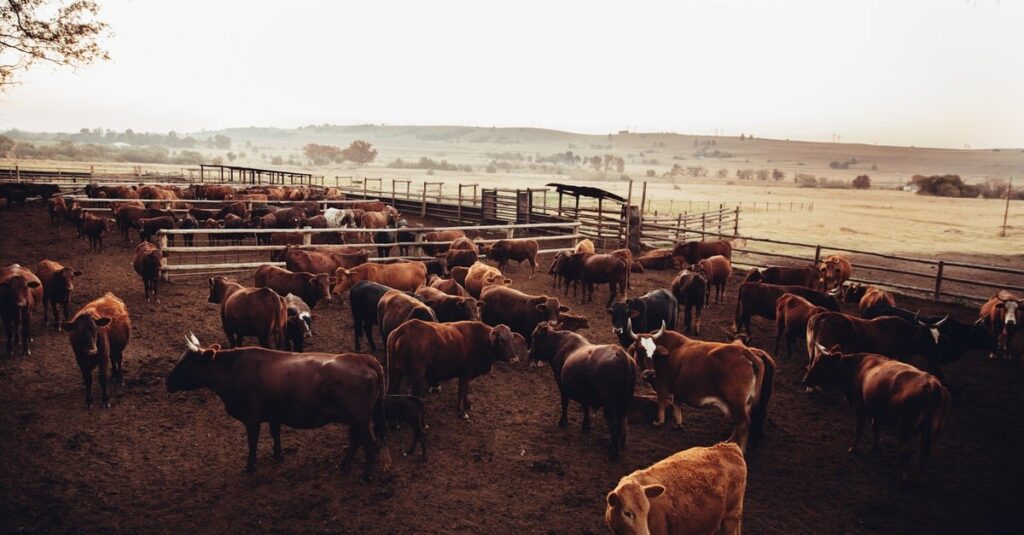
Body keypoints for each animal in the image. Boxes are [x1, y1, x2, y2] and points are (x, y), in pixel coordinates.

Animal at [167, 332, 391, 479]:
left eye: (186, 363)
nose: (168, 382)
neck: (233, 369)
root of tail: (362, 358)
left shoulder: (251, 418)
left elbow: (252, 442)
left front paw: (250, 465)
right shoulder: (273, 414)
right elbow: (275, 433)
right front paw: (277, 455)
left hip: (360, 418)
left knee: (370, 444)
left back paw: (366, 476)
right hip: (356, 419)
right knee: (356, 441)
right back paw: (343, 466)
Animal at [387, 315, 524, 416]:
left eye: (512, 340)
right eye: (501, 340)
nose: (515, 360)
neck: (482, 341)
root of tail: (404, 328)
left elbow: (466, 390)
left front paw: (468, 405)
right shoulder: (465, 373)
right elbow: (462, 391)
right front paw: (462, 412)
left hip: (394, 371)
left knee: (391, 392)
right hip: (416, 375)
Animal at [528, 319, 630, 457]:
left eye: (534, 337)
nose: (530, 353)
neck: (559, 344)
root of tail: (620, 353)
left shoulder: (561, 384)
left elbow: (565, 403)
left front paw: (563, 422)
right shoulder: (584, 392)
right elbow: (585, 406)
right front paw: (586, 425)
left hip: (609, 404)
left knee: (614, 425)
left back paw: (613, 452)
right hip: (623, 404)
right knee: (623, 423)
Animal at [806, 346, 950, 483]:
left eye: (819, 365)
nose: (804, 380)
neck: (858, 367)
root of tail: (933, 385)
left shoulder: (860, 407)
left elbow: (859, 430)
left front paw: (854, 449)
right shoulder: (877, 411)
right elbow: (875, 428)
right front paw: (876, 449)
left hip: (904, 427)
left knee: (906, 451)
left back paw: (902, 479)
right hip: (929, 432)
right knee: (924, 454)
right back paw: (921, 479)